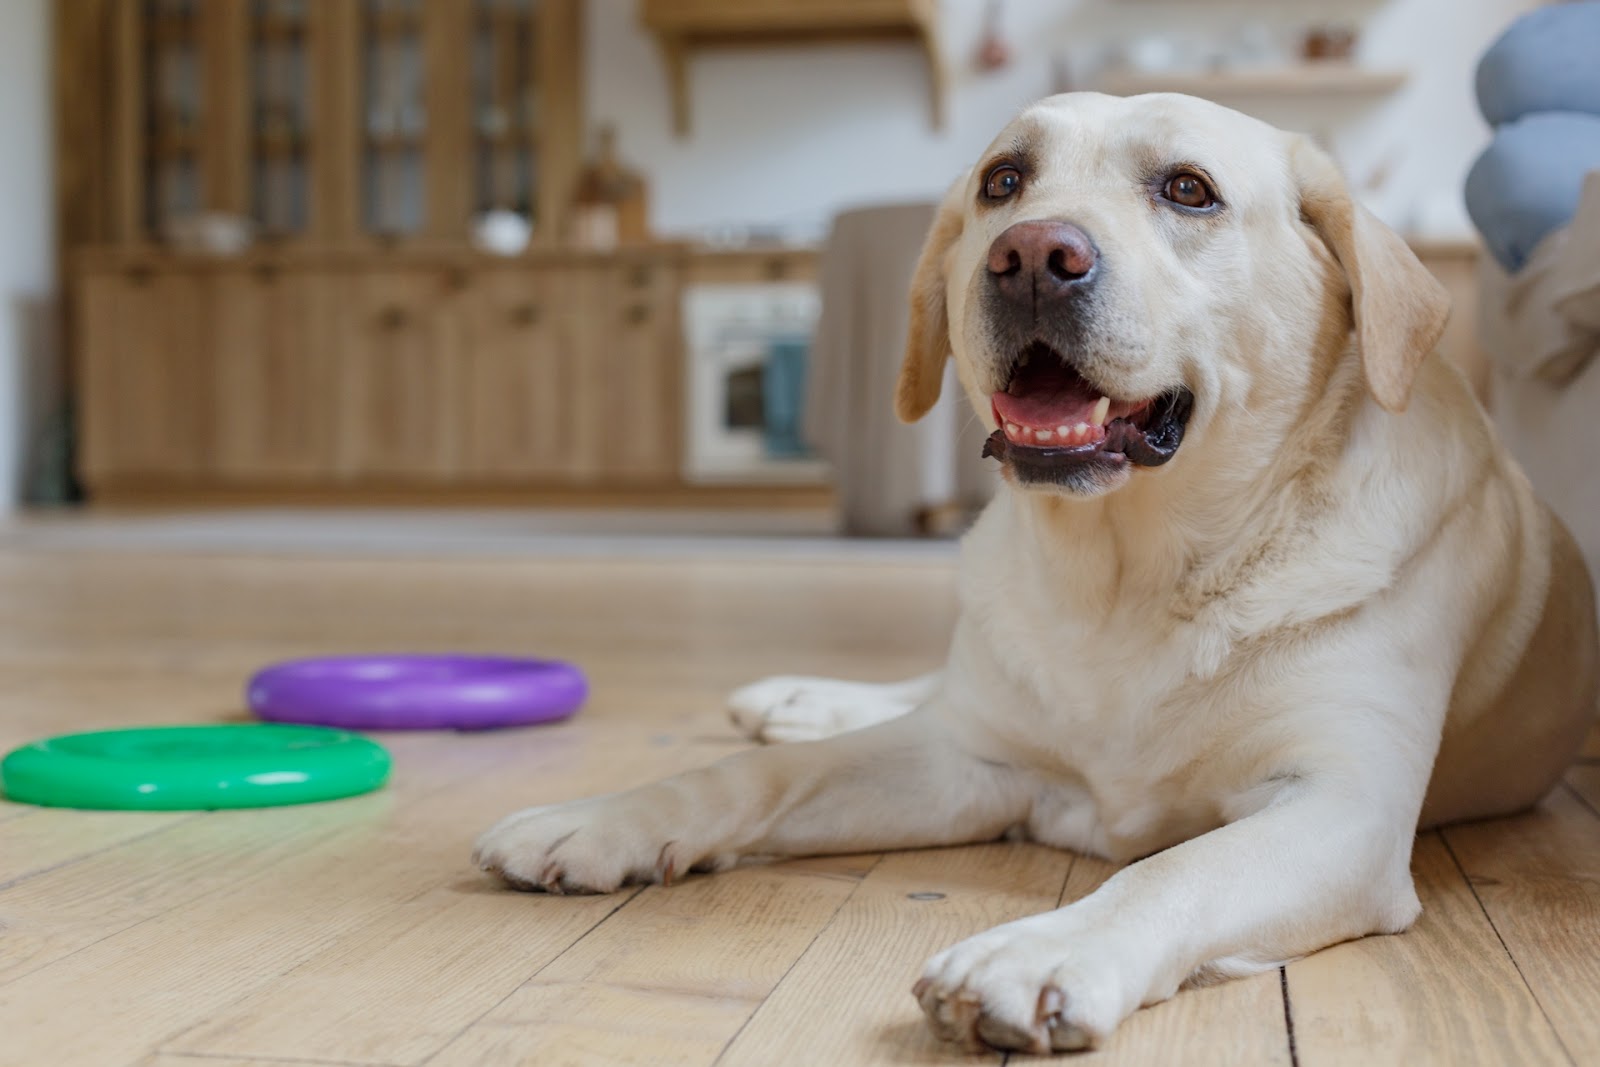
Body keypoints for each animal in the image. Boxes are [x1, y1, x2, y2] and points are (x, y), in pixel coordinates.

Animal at [467, 93, 1593, 1062]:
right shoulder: (969, 759)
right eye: (1003, 181)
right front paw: (608, 817)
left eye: (1189, 189)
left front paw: (1043, 950)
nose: (1031, 257)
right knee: (916, 690)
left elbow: (1175, 867)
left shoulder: (1345, 809)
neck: (1129, 575)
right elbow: (762, 779)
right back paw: (797, 700)